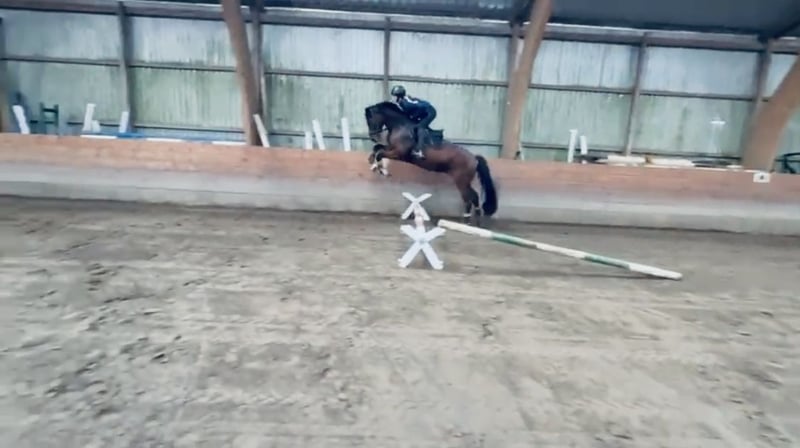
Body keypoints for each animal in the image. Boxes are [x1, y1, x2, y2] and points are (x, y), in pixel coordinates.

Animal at [364, 101, 498, 226]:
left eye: (370, 118)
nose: (372, 136)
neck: (400, 126)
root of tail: (474, 158)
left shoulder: (399, 153)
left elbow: (380, 153)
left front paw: (382, 170)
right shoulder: (391, 148)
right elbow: (377, 149)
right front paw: (374, 164)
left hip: (461, 181)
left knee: (468, 198)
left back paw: (467, 221)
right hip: (464, 181)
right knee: (474, 196)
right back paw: (476, 221)